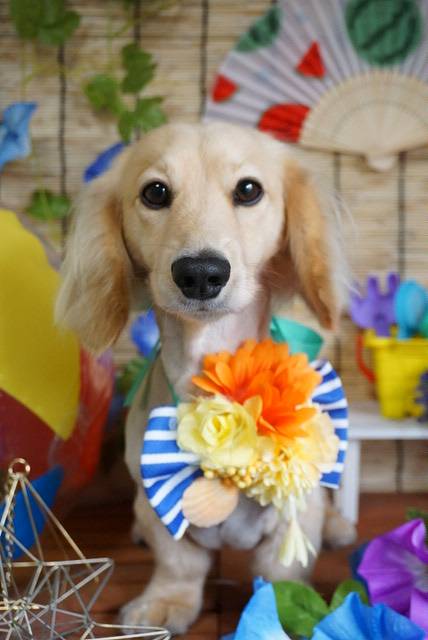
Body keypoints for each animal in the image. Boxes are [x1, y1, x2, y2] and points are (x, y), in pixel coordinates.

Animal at [56, 122, 355, 635]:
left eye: (249, 190)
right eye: (155, 192)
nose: (200, 273)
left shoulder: (296, 508)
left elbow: (281, 570)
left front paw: (282, 611)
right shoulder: (155, 497)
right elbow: (180, 561)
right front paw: (166, 601)